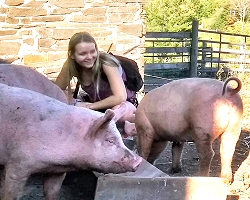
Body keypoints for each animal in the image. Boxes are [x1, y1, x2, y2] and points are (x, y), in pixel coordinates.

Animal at [0, 82, 142, 198]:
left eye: (120, 138)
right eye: (110, 140)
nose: (139, 161)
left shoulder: (57, 172)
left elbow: (51, 191)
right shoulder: (18, 164)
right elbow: (11, 193)